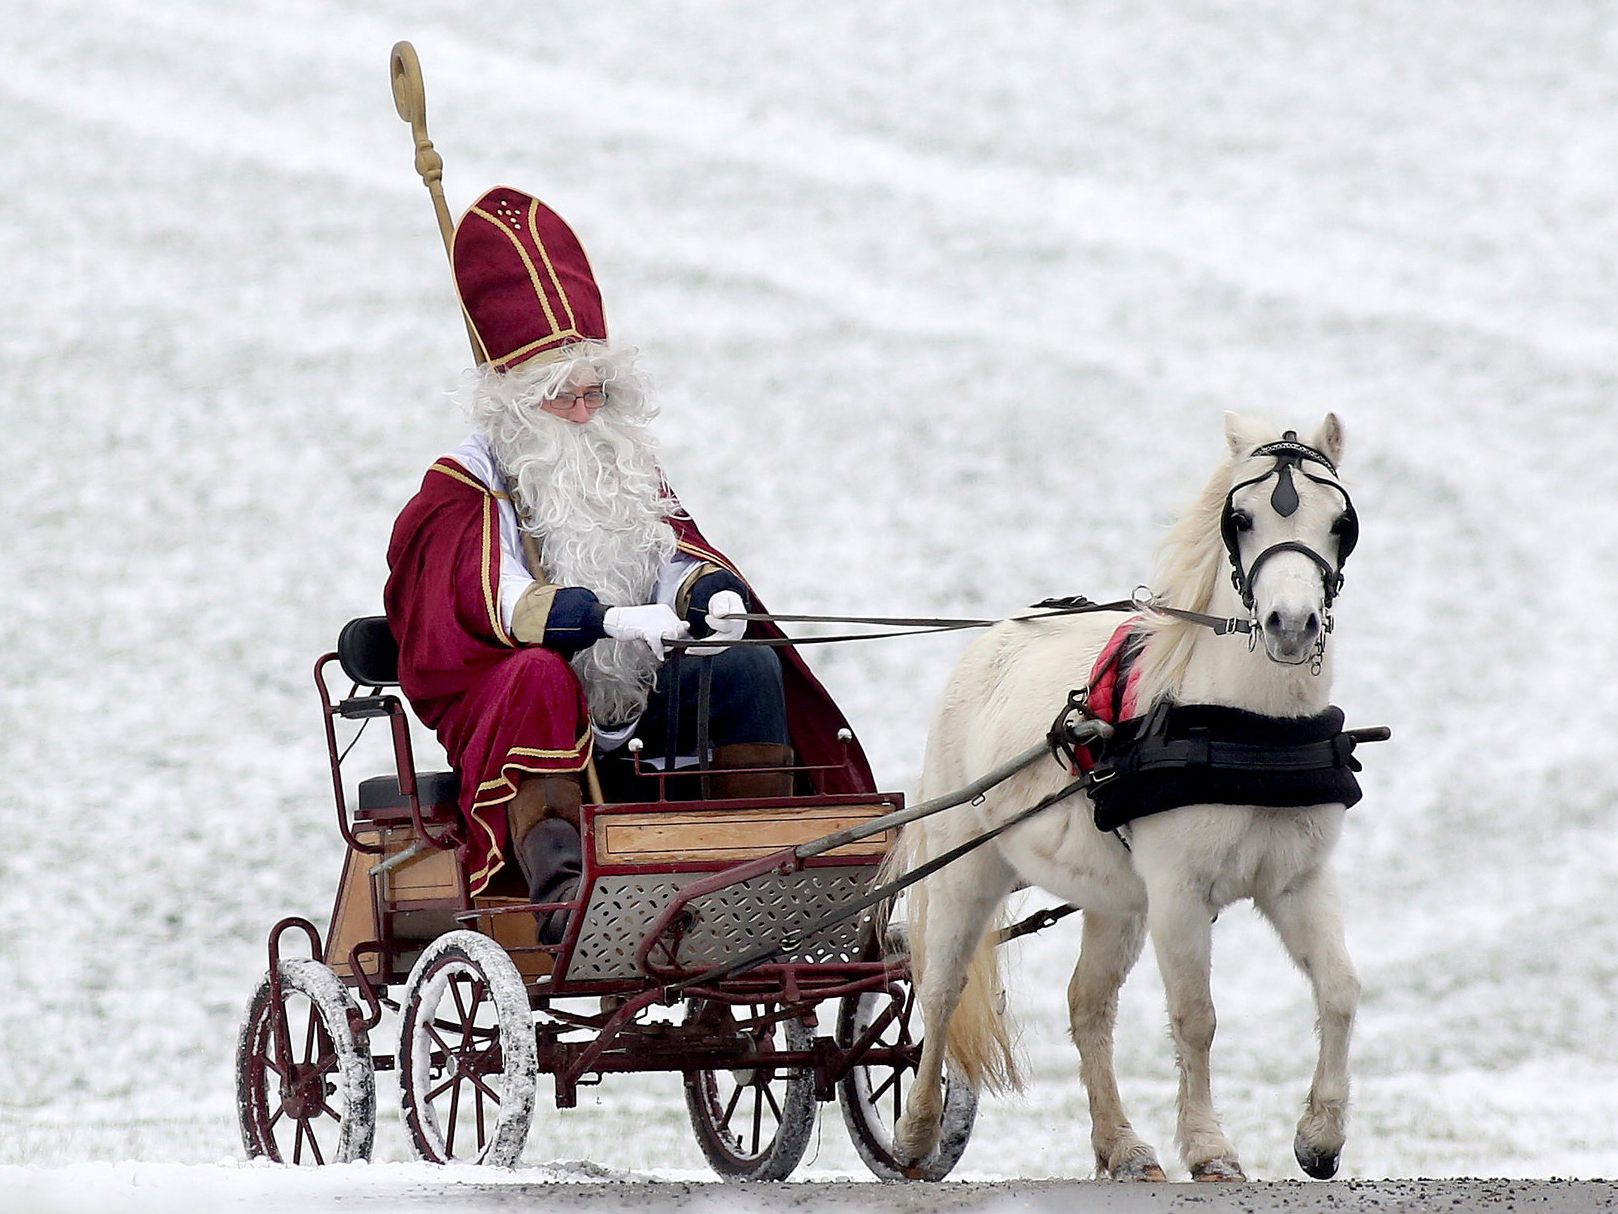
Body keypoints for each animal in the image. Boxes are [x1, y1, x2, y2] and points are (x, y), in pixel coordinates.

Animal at [893, 414, 1359, 1184]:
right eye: (1240, 518)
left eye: (1340, 522)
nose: (1289, 624)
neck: (1252, 729)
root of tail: (994, 638)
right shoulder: (1177, 892)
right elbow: (1196, 1015)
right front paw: (1210, 1148)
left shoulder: (1297, 882)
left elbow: (1341, 989)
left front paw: (1319, 1137)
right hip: (967, 868)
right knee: (938, 991)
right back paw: (915, 1134)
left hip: (1115, 900)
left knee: (1088, 1005)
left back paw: (1123, 1145)